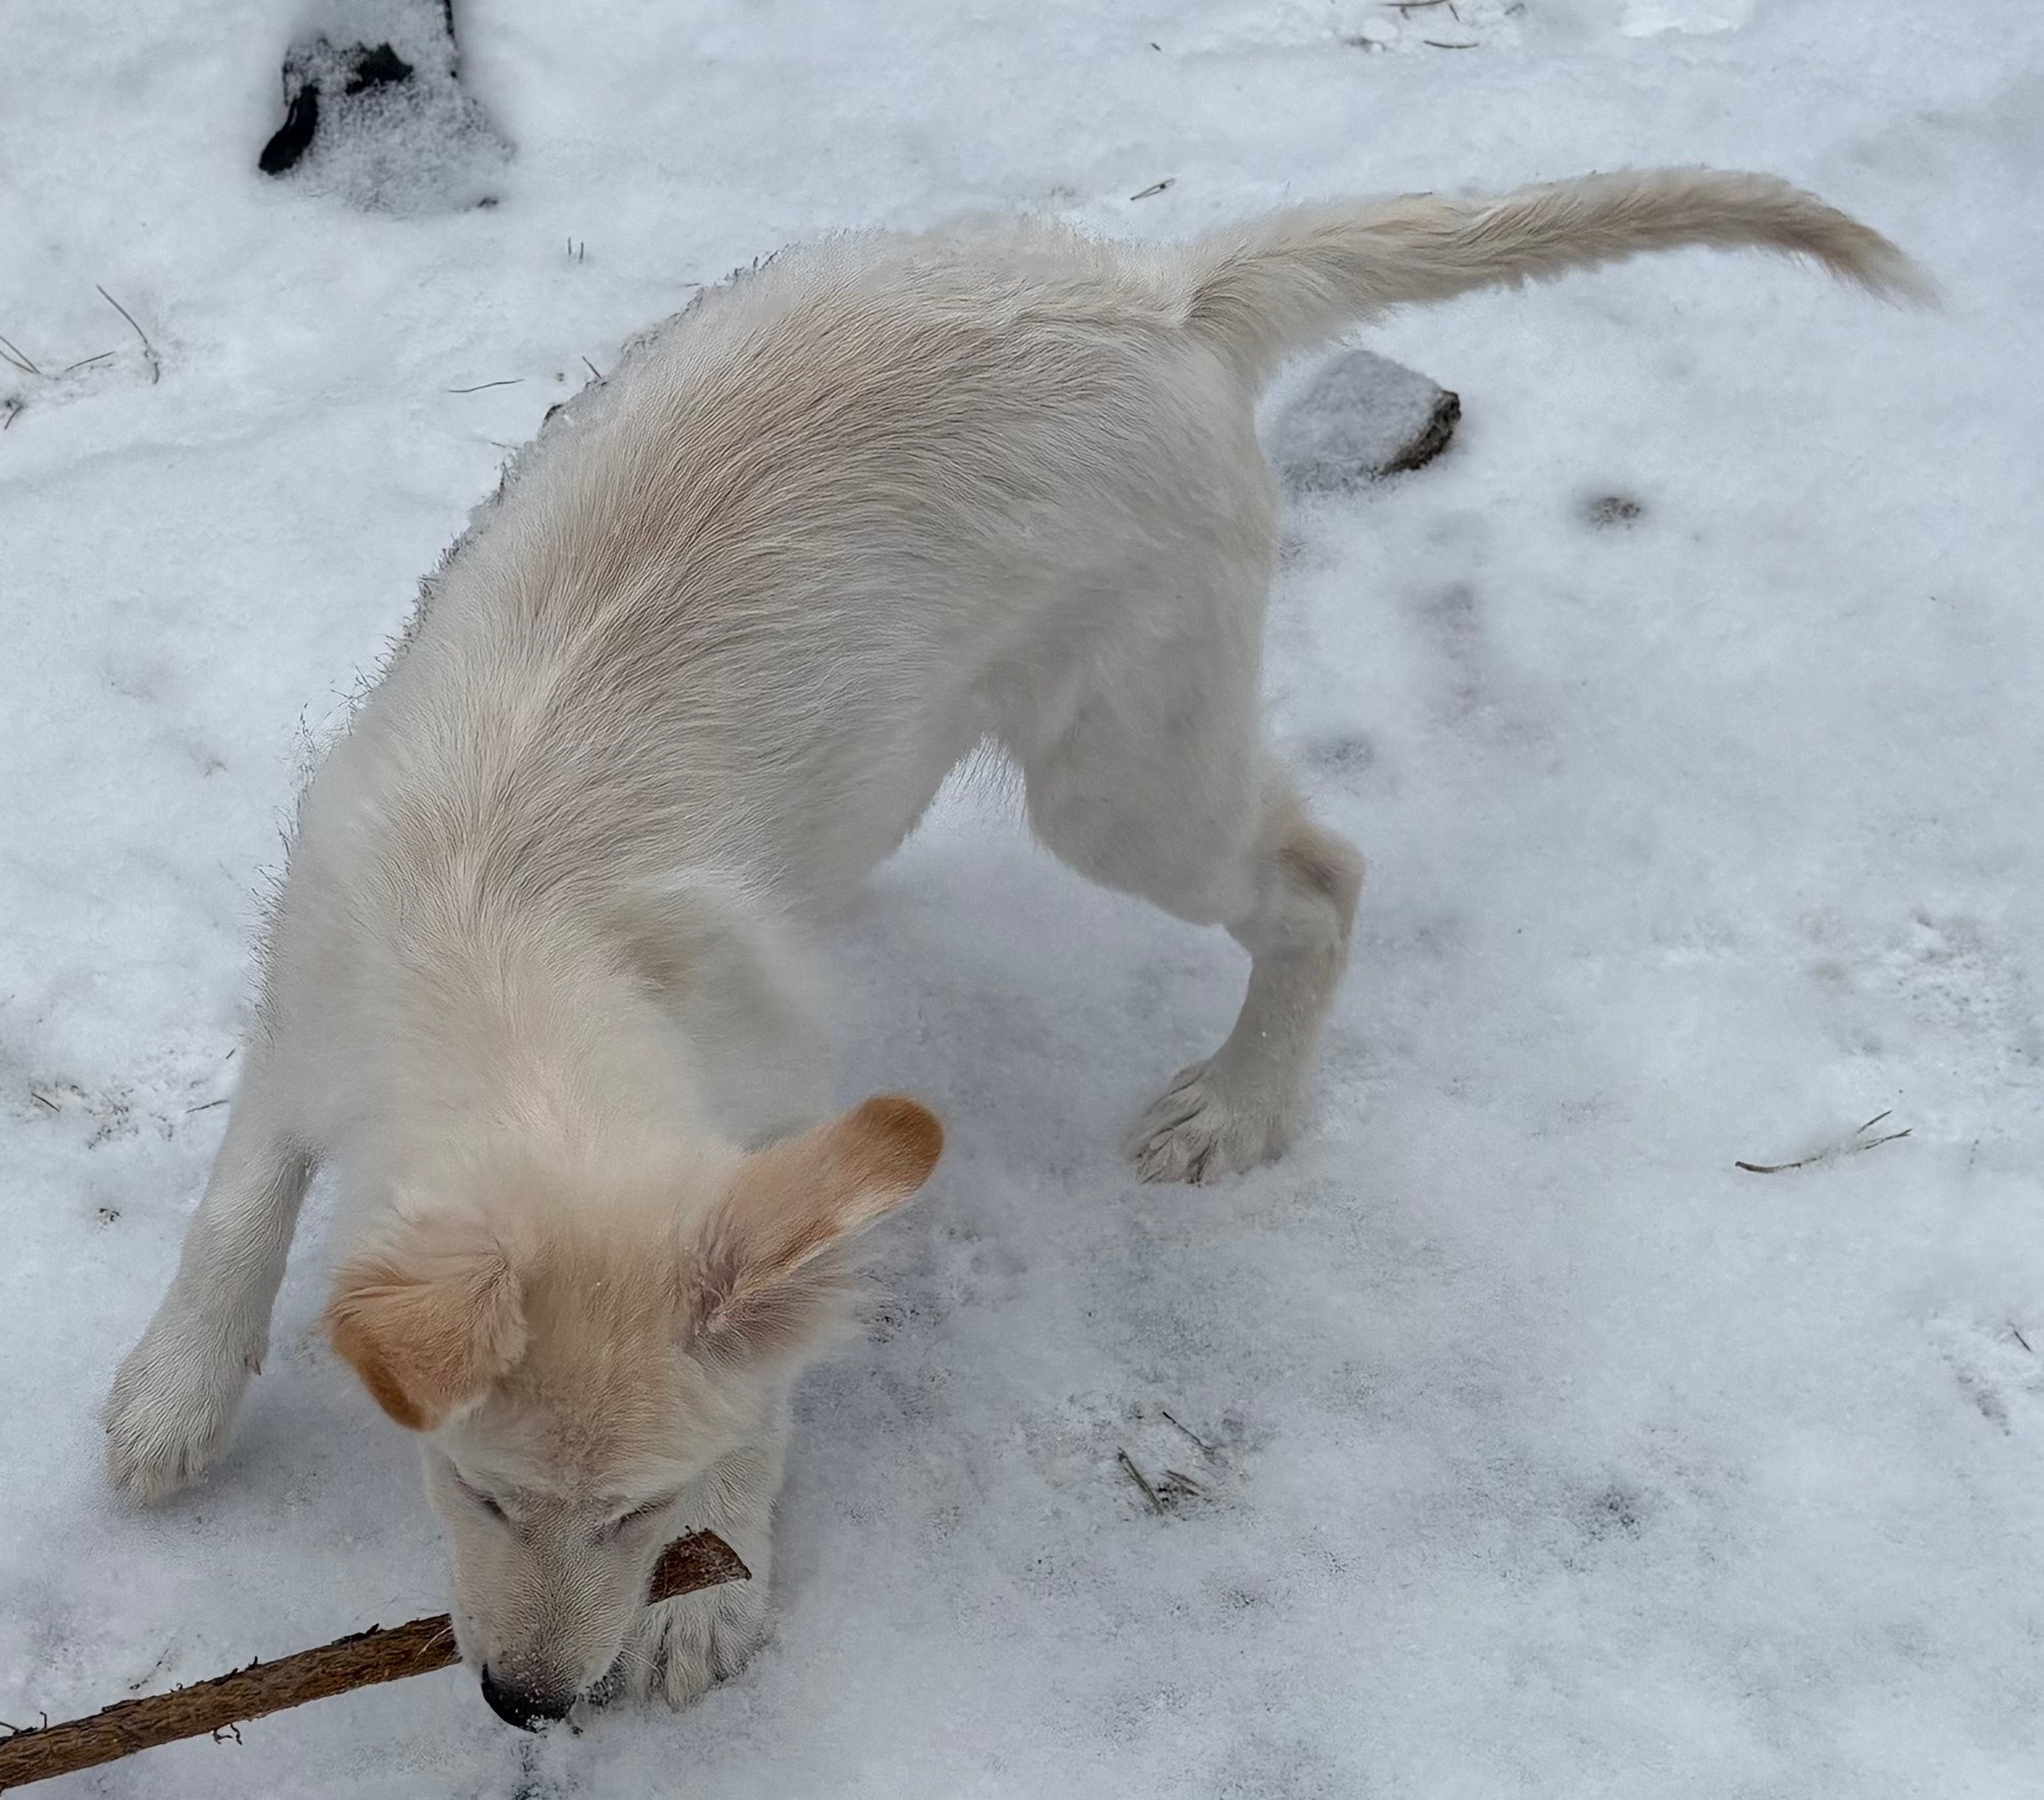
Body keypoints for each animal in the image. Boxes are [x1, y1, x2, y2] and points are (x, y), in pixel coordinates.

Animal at [101, 169, 1925, 1724]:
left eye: (635, 1510)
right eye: (474, 1489)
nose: (525, 1704)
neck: (511, 951)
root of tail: (1162, 291)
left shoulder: (765, 1114)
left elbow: (766, 1381)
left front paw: (717, 1590)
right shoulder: (312, 980)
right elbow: (244, 1192)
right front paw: (172, 1393)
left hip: (1123, 776)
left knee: (1320, 875)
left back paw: (1238, 1103)